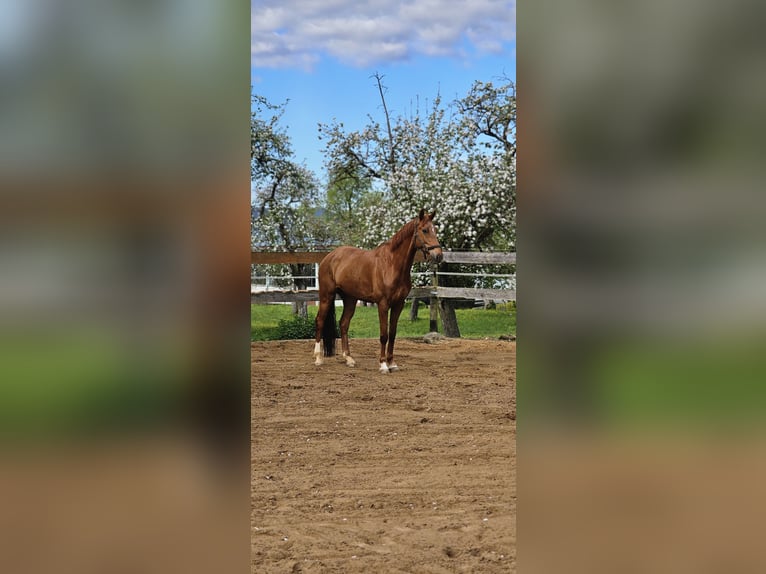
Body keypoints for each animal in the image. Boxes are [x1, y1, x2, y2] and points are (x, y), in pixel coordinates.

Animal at [313, 209, 444, 373]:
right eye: (425, 230)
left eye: (435, 230)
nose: (438, 255)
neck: (392, 264)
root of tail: (329, 257)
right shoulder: (383, 304)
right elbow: (383, 335)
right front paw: (383, 365)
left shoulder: (398, 304)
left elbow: (392, 334)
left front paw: (392, 363)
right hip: (326, 296)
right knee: (320, 321)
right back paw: (318, 358)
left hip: (350, 299)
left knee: (343, 324)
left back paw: (348, 359)